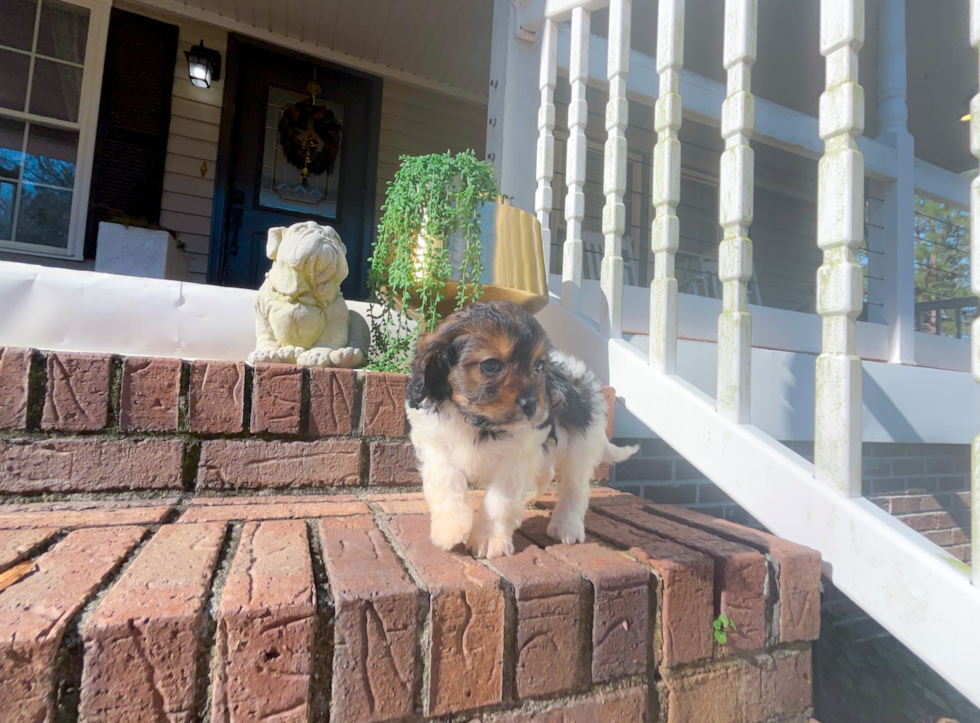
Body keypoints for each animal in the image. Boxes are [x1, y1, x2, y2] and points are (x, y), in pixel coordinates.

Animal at [404, 300, 636, 560]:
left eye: (539, 366)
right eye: (490, 365)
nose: (531, 404)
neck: (479, 422)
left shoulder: (516, 459)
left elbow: (498, 502)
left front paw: (489, 538)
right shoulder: (436, 446)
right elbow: (446, 481)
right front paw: (449, 526)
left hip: (580, 447)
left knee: (575, 488)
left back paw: (566, 525)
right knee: (546, 472)